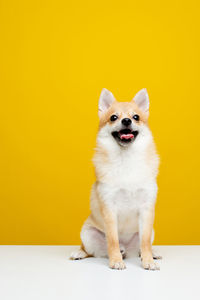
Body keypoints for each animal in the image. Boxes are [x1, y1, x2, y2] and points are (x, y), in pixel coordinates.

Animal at [70, 88, 161, 270]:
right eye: (113, 117)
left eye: (136, 117)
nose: (126, 120)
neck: (126, 158)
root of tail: (126, 249)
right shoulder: (109, 208)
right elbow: (112, 240)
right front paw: (116, 261)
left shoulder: (147, 210)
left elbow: (145, 241)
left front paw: (148, 261)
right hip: (87, 233)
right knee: (90, 250)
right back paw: (80, 253)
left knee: (142, 246)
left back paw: (151, 253)